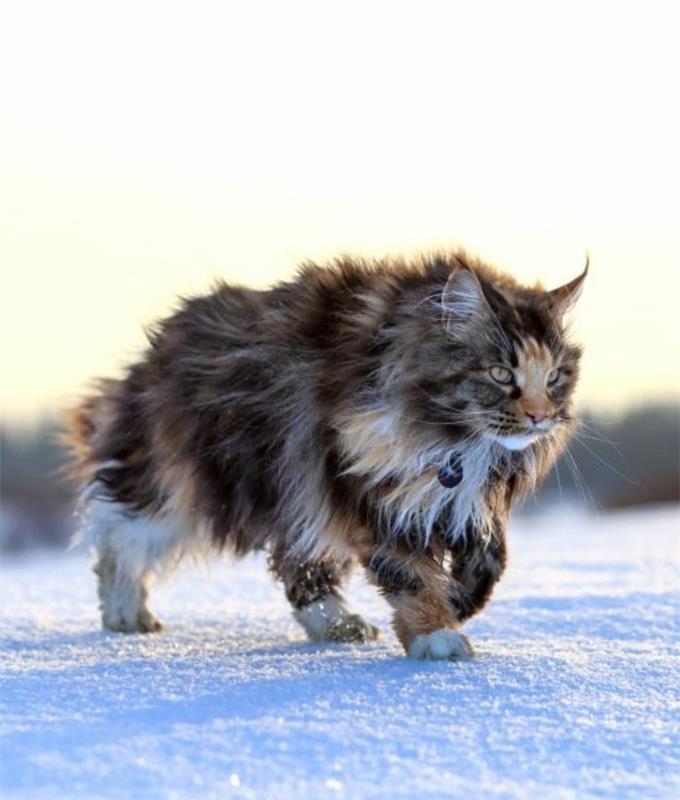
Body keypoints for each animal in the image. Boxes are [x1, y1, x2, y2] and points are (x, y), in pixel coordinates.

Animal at [61, 253, 588, 660]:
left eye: (555, 376)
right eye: (501, 373)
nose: (541, 416)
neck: (455, 441)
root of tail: (156, 349)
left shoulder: (460, 498)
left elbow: (491, 558)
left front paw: (458, 601)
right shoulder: (362, 484)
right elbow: (411, 575)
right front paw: (437, 635)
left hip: (292, 490)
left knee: (300, 568)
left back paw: (338, 625)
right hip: (189, 476)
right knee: (119, 536)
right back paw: (125, 611)